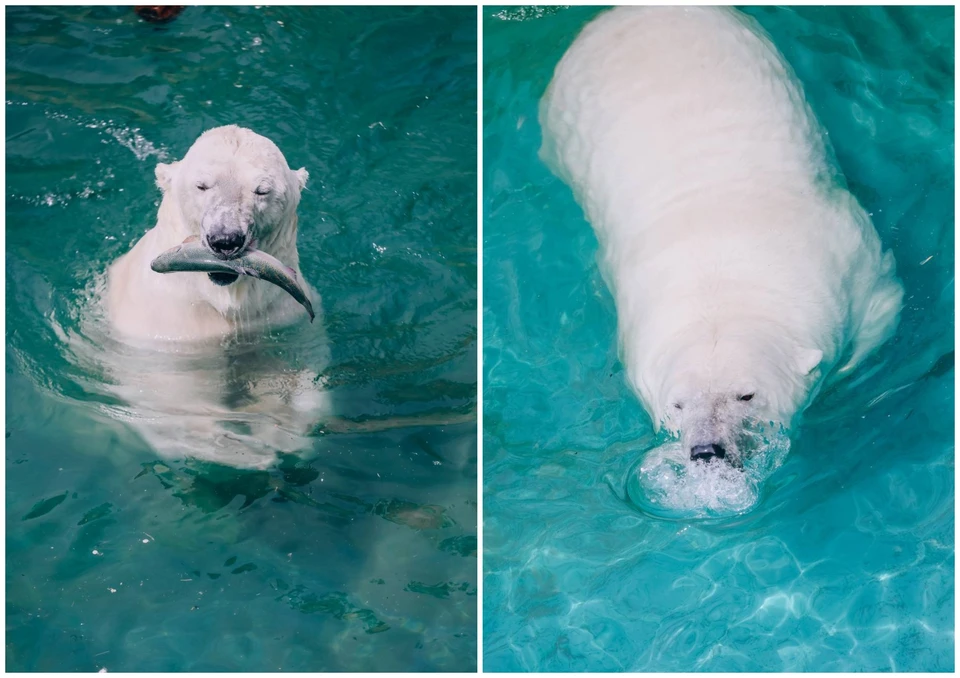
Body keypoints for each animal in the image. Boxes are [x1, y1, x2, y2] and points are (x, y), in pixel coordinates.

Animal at [544, 7, 904, 468]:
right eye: (678, 404)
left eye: (746, 395)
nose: (706, 449)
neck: (727, 268)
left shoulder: (852, 256)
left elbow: (882, 307)